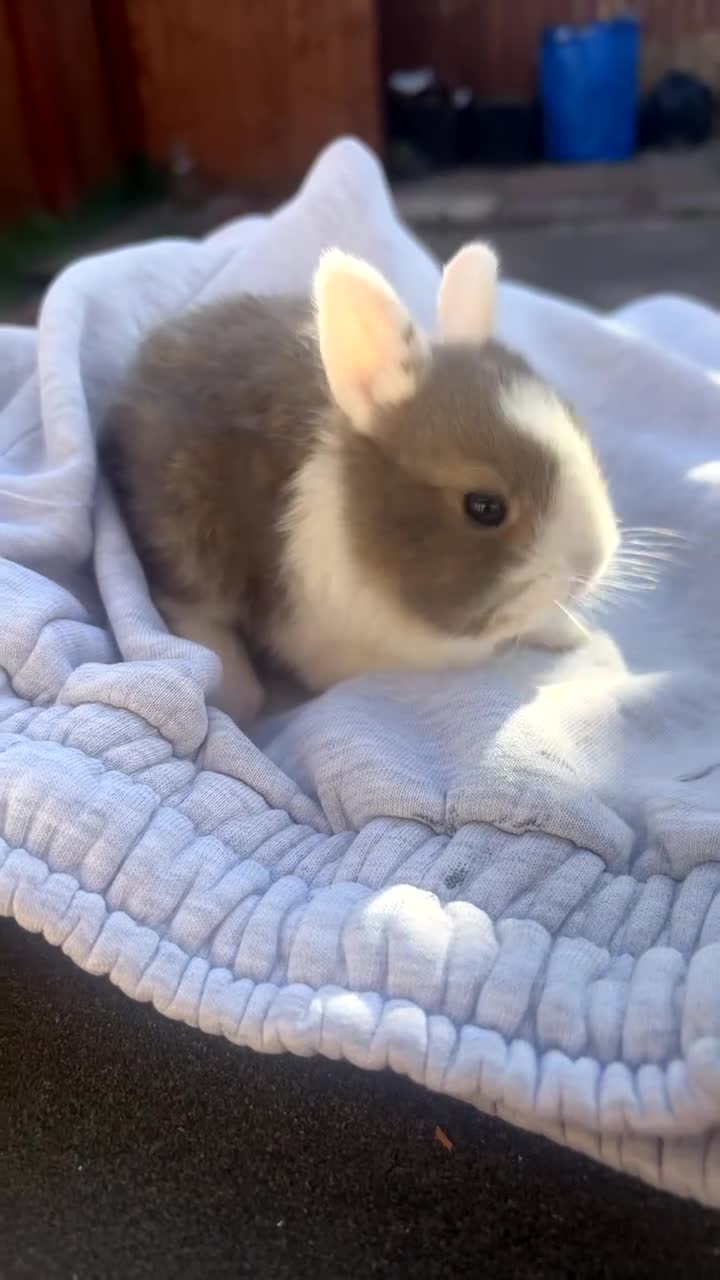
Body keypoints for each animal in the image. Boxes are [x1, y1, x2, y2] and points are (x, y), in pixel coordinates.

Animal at [99, 242, 619, 723]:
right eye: (484, 507)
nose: (591, 565)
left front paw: (570, 632)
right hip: (187, 534)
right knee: (191, 607)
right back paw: (238, 695)